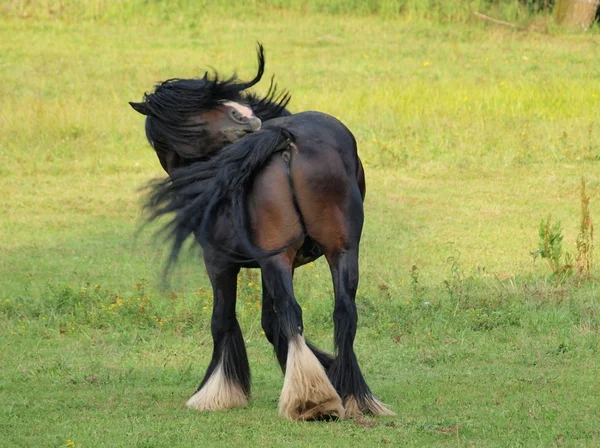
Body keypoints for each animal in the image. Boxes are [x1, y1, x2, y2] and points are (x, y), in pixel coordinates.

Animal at [130, 45, 394, 420]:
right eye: (195, 111)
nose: (244, 116)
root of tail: (284, 138)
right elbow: (270, 322)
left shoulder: (220, 263)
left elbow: (224, 320)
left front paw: (217, 393)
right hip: (339, 251)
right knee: (343, 312)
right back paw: (354, 396)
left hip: (275, 258)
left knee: (291, 312)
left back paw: (311, 401)